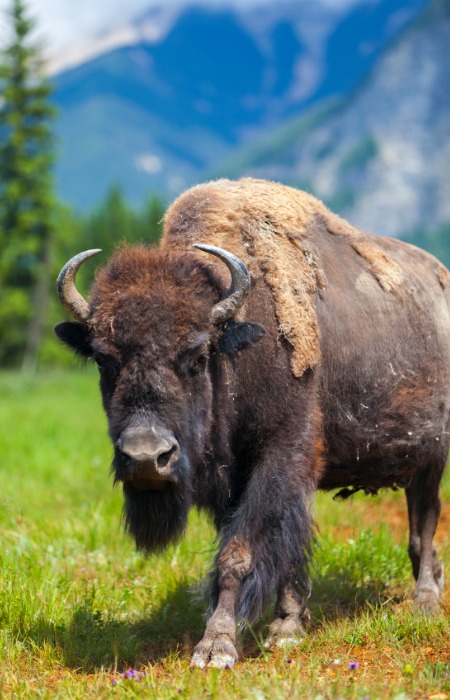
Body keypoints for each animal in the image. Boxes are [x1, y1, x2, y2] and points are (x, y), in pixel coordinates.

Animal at [55, 178, 449, 668]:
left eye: (197, 355)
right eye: (104, 360)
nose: (147, 458)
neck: (236, 347)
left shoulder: (280, 456)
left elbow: (239, 554)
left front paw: (216, 647)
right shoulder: (240, 480)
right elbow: (281, 548)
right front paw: (287, 627)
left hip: (433, 456)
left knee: (424, 524)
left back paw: (425, 602)